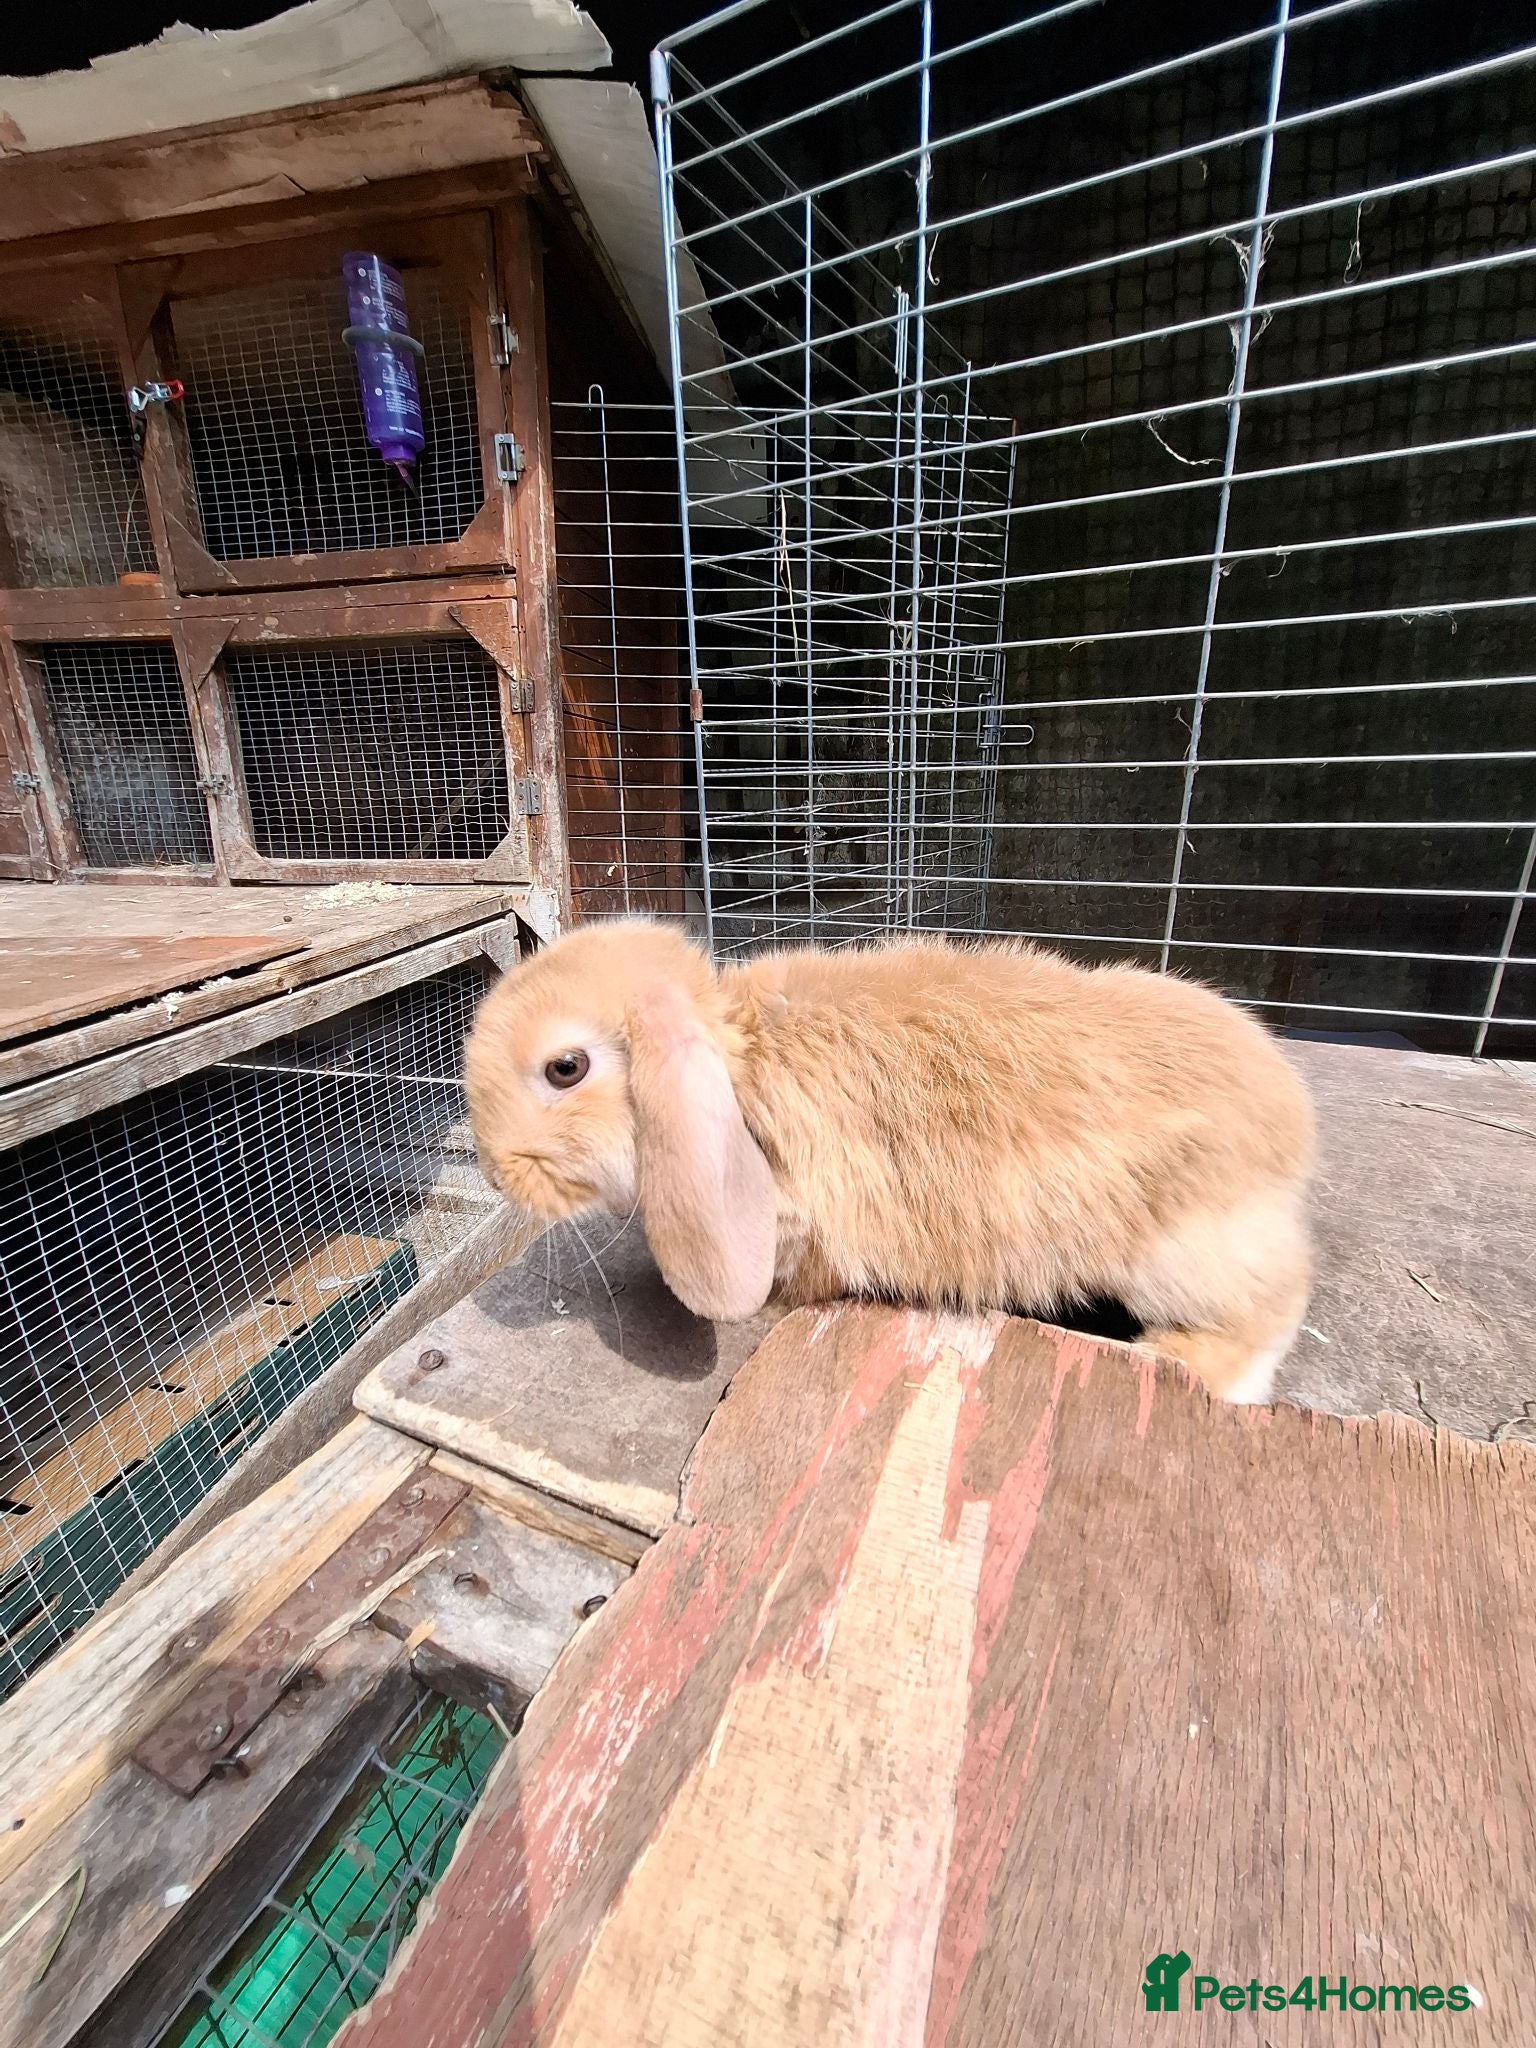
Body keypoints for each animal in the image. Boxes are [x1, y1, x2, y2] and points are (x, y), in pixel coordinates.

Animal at [464, 918, 1316, 1404]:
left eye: (565, 1068)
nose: (496, 1172)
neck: (740, 1067)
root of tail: (1291, 1124)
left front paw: (772, 1309)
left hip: (1183, 1255)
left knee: (1270, 1314)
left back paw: (1184, 1359)